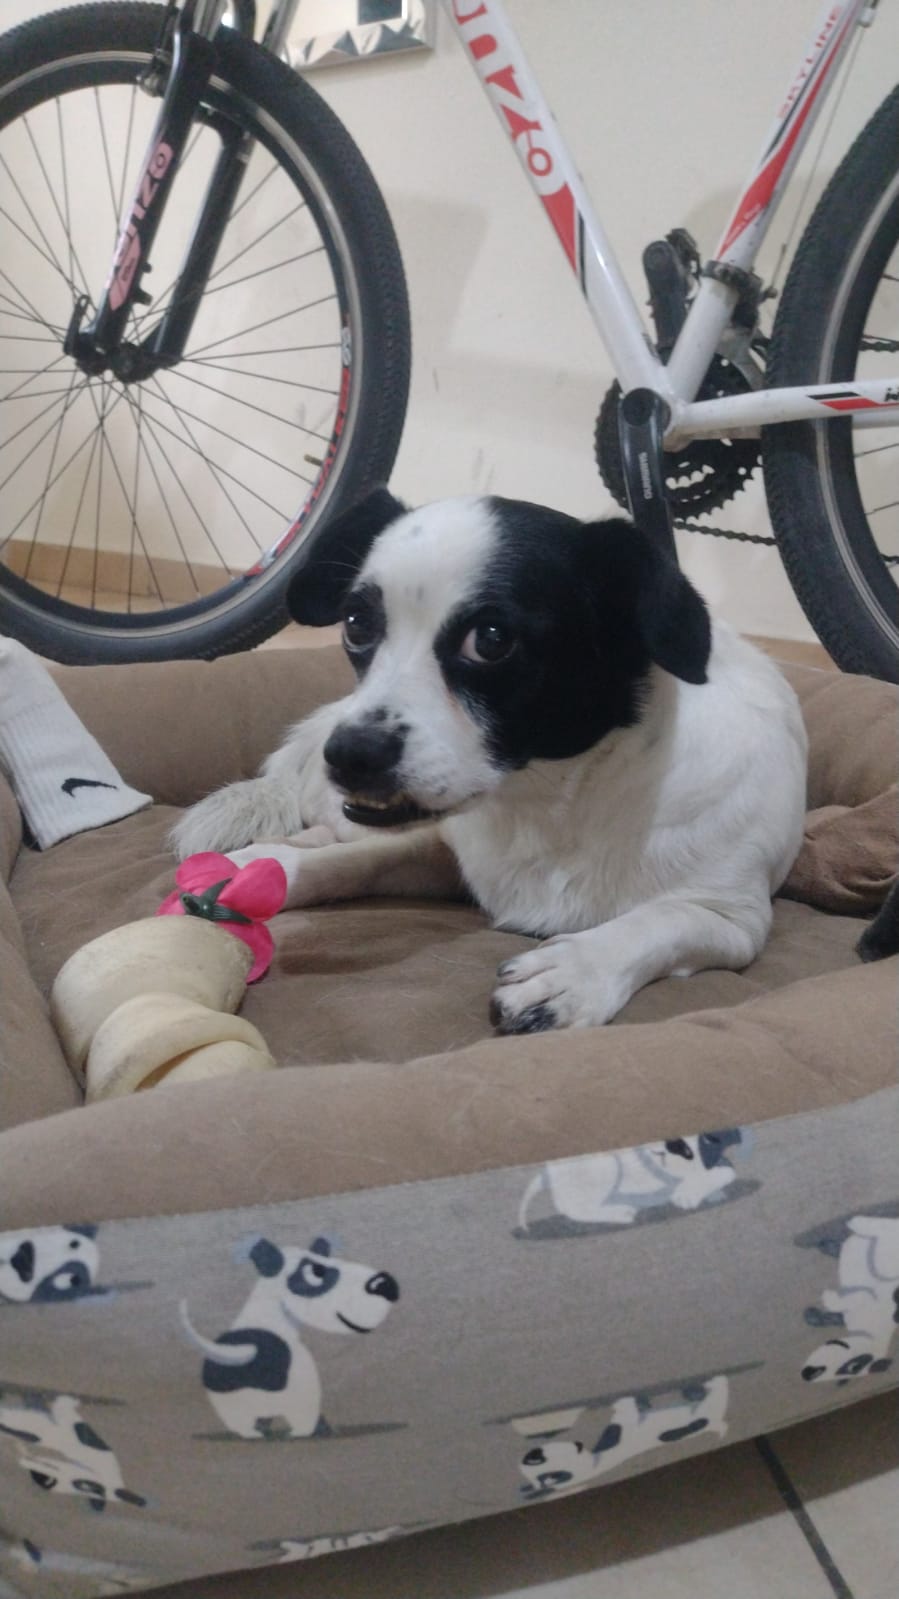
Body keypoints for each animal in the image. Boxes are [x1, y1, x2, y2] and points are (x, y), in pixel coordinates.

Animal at [172, 491, 808, 1031]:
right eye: (356, 625)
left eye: (492, 640)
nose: (349, 753)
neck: (553, 798)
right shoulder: (441, 850)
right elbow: (357, 862)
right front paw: (274, 871)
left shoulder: (732, 919)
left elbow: (655, 922)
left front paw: (574, 971)